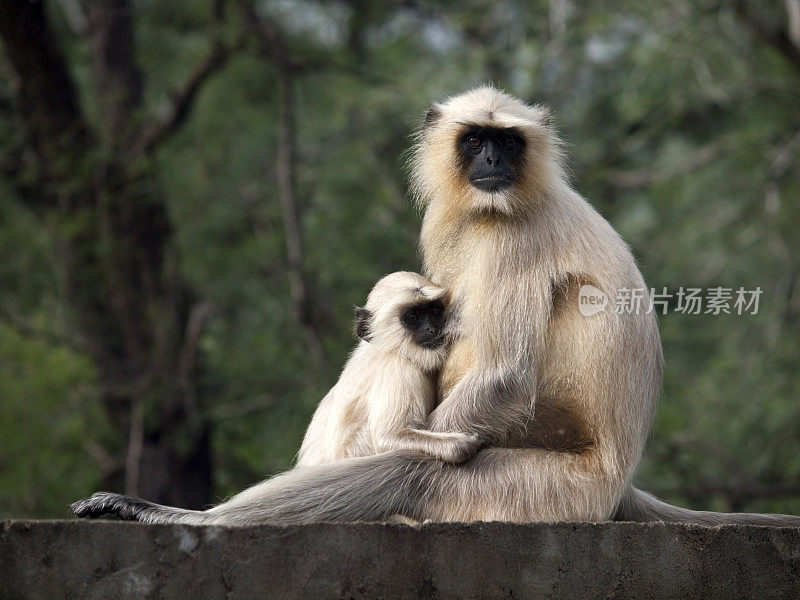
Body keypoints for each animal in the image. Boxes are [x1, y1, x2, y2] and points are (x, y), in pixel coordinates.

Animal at [296, 270, 478, 466]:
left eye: (435, 312)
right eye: (413, 318)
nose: (431, 329)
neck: (390, 349)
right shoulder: (399, 370)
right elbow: (387, 439)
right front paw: (460, 445)